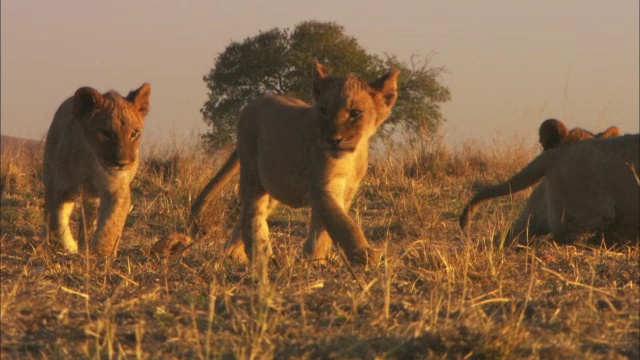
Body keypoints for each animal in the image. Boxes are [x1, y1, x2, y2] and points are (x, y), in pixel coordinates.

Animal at [191, 60, 400, 266]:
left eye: (355, 113)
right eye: (323, 111)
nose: (333, 139)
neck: (350, 157)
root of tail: (253, 102)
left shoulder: (347, 191)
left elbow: (323, 228)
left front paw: (313, 258)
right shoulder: (322, 188)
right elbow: (342, 223)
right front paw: (364, 256)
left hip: (275, 185)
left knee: (249, 217)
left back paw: (234, 253)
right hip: (252, 176)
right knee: (252, 215)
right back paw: (260, 255)